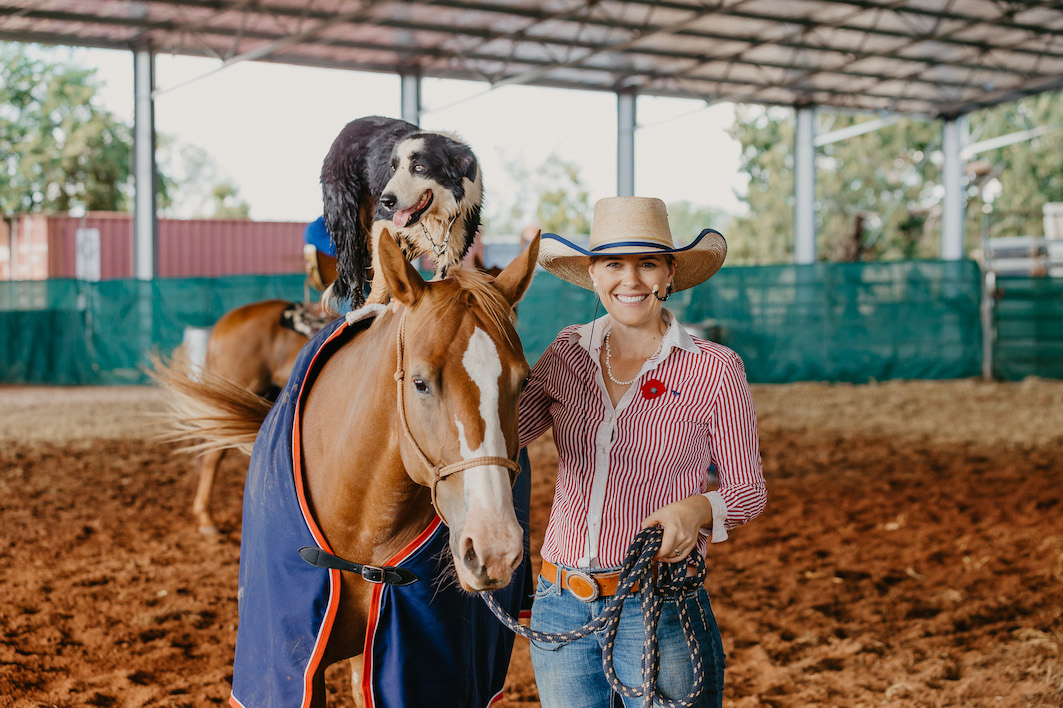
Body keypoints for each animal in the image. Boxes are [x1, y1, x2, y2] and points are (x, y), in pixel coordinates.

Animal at [314, 114, 482, 308]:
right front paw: (373, 305)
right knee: (353, 268)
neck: (435, 216)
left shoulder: (456, 243)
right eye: (393, 169)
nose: (386, 201)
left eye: (419, 167)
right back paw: (358, 306)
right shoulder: (383, 220)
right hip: (347, 220)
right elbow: (381, 272)